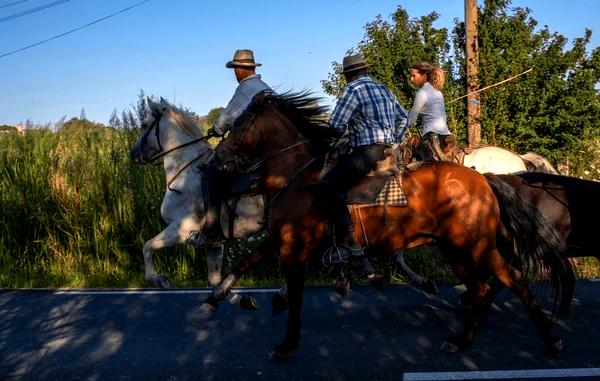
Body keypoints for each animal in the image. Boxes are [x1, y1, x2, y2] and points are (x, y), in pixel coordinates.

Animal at [129, 98, 262, 288]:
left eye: (144, 124)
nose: (132, 153)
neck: (185, 170)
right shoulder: (213, 244)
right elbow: (214, 281)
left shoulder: (182, 228)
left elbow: (147, 246)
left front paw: (158, 279)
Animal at [200, 92, 572, 360]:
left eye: (240, 123)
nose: (216, 159)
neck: (298, 177)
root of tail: (485, 178)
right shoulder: (281, 241)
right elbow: (243, 262)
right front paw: (213, 300)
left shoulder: (294, 249)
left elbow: (296, 297)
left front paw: (287, 343)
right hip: (456, 247)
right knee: (482, 288)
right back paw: (461, 340)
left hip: (477, 245)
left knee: (512, 278)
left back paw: (550, 340)